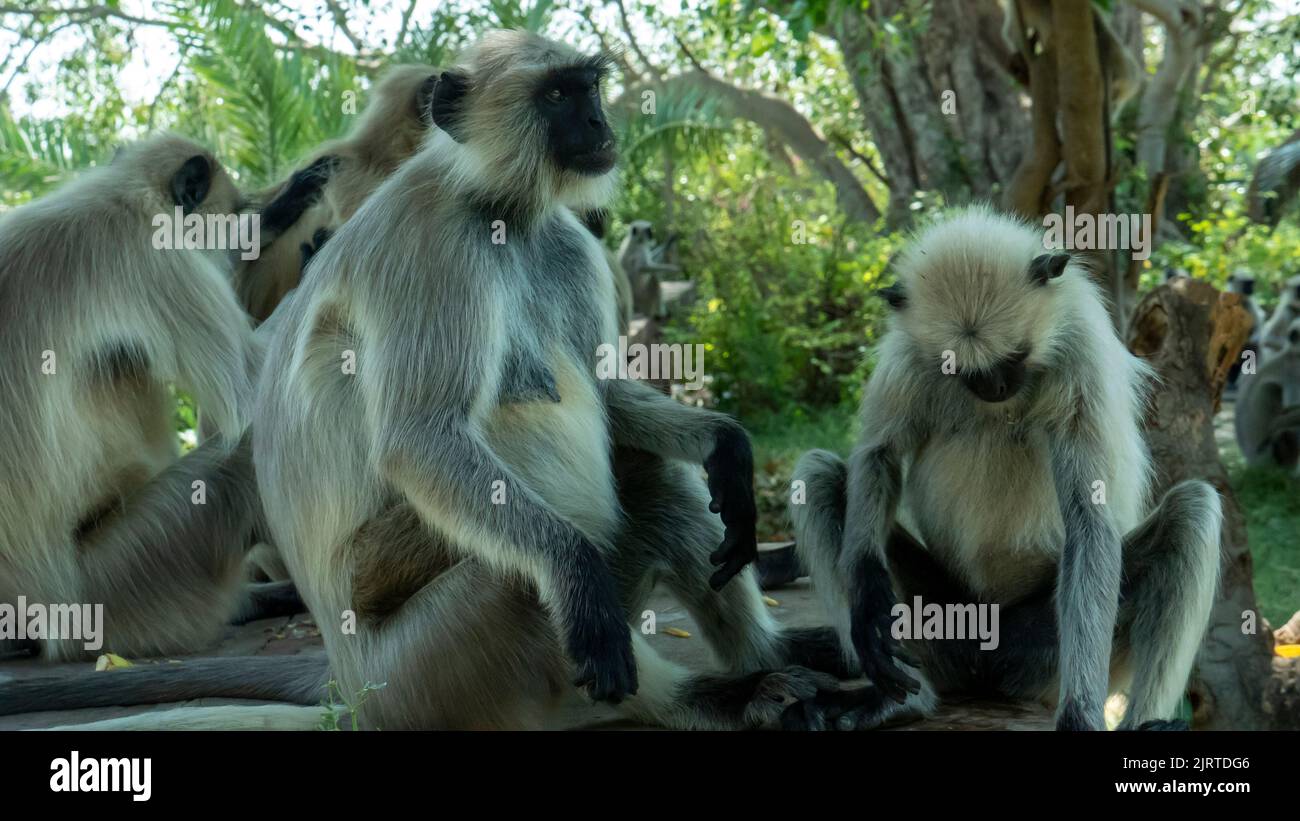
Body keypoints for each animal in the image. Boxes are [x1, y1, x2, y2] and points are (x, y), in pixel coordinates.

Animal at [785, 205, 1222, 732]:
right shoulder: (907, 350)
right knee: (817, 475)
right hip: (943, 629)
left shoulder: (1080, 353)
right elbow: (878, 453)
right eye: (963, 371)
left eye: (1015, 358)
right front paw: (868, 595)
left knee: (1192, 511)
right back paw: (903, 701)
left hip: (1039, 656)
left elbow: (1089, 520)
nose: (994, 389)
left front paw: (1079, 715)